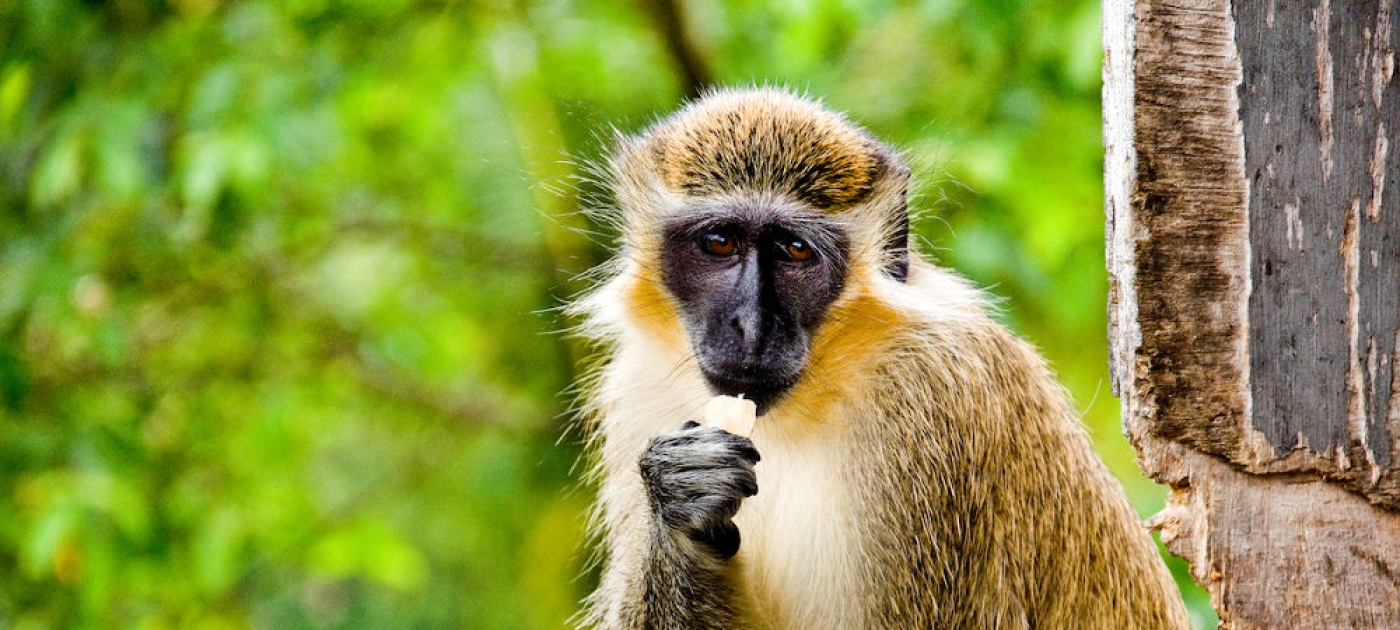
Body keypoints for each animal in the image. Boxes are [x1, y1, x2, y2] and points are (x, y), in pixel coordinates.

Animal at [570, 87, 1190, 630]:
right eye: (720, 243)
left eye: (796, 251)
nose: (751, 325)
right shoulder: (637, 389)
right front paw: (680, 501)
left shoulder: (936, 400)